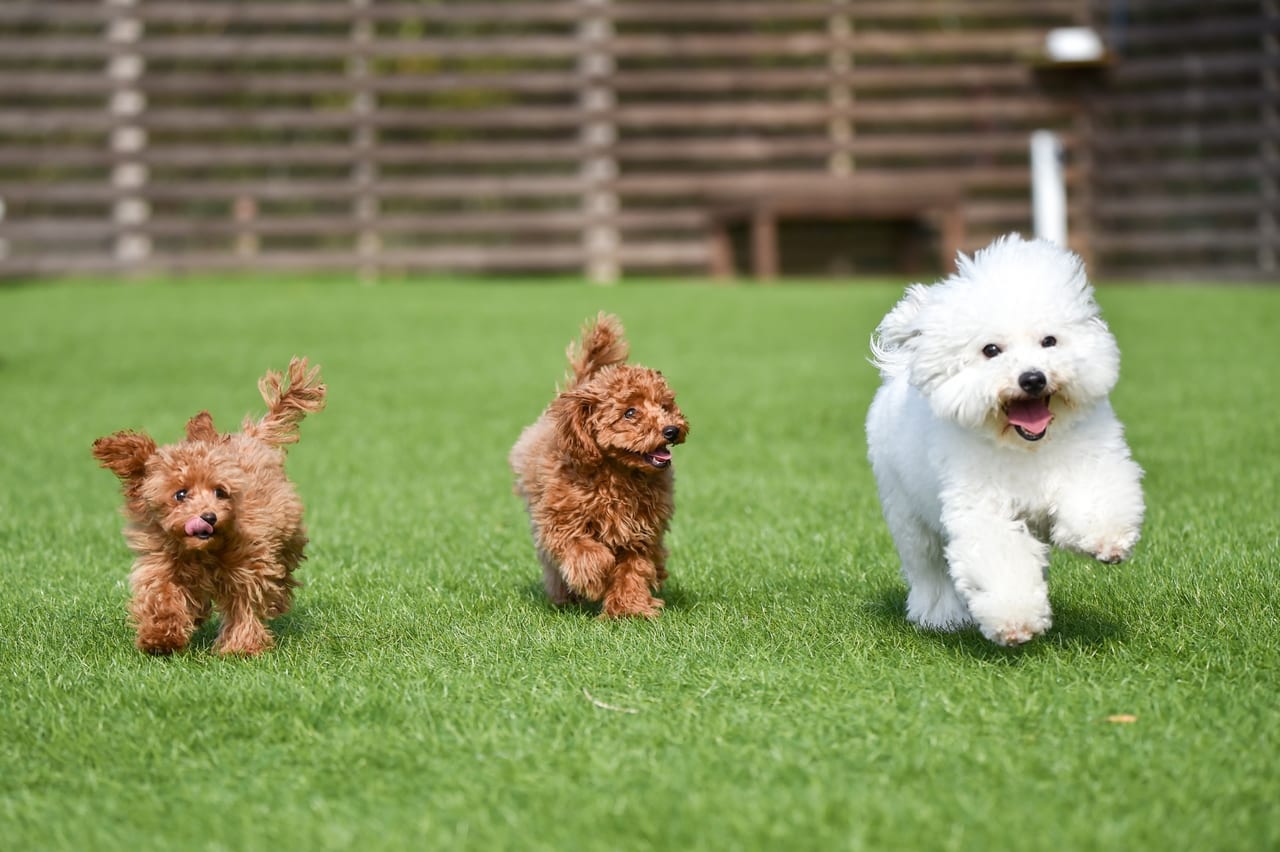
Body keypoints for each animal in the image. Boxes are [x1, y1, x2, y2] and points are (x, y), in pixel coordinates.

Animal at [92, 355, 325, 652]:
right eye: (180, 494)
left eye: (220, 492)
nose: (210, 517)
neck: (201, 551)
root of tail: (252, 436)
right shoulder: (160, 562)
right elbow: (161, 594)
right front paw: (161, 636)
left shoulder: (248, 561)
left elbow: (244, 603)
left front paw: (241, 647)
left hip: (286, 531)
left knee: (283, 567)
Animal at [509, 312, 691, 616]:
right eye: (630, 412)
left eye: (664, 406)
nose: (671, 430)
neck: (617, 474)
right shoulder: (561, 521)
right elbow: (584, 551)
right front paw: (594, 580)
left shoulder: (640, 531)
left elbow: (634, 569)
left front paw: (630, 609)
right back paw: (566, 597)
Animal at [865, 232, 1146, 644]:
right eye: (991, 350)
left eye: (1049, 341)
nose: (1032, 379)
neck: (1027, 445)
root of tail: (899, 371)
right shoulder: (981, 508)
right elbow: (1000, 555)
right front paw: (1015, 619)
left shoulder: (1091, 460)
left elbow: (1096, 498)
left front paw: (1106, 539)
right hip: (906, 512)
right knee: (928, 567)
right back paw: (941, 616)